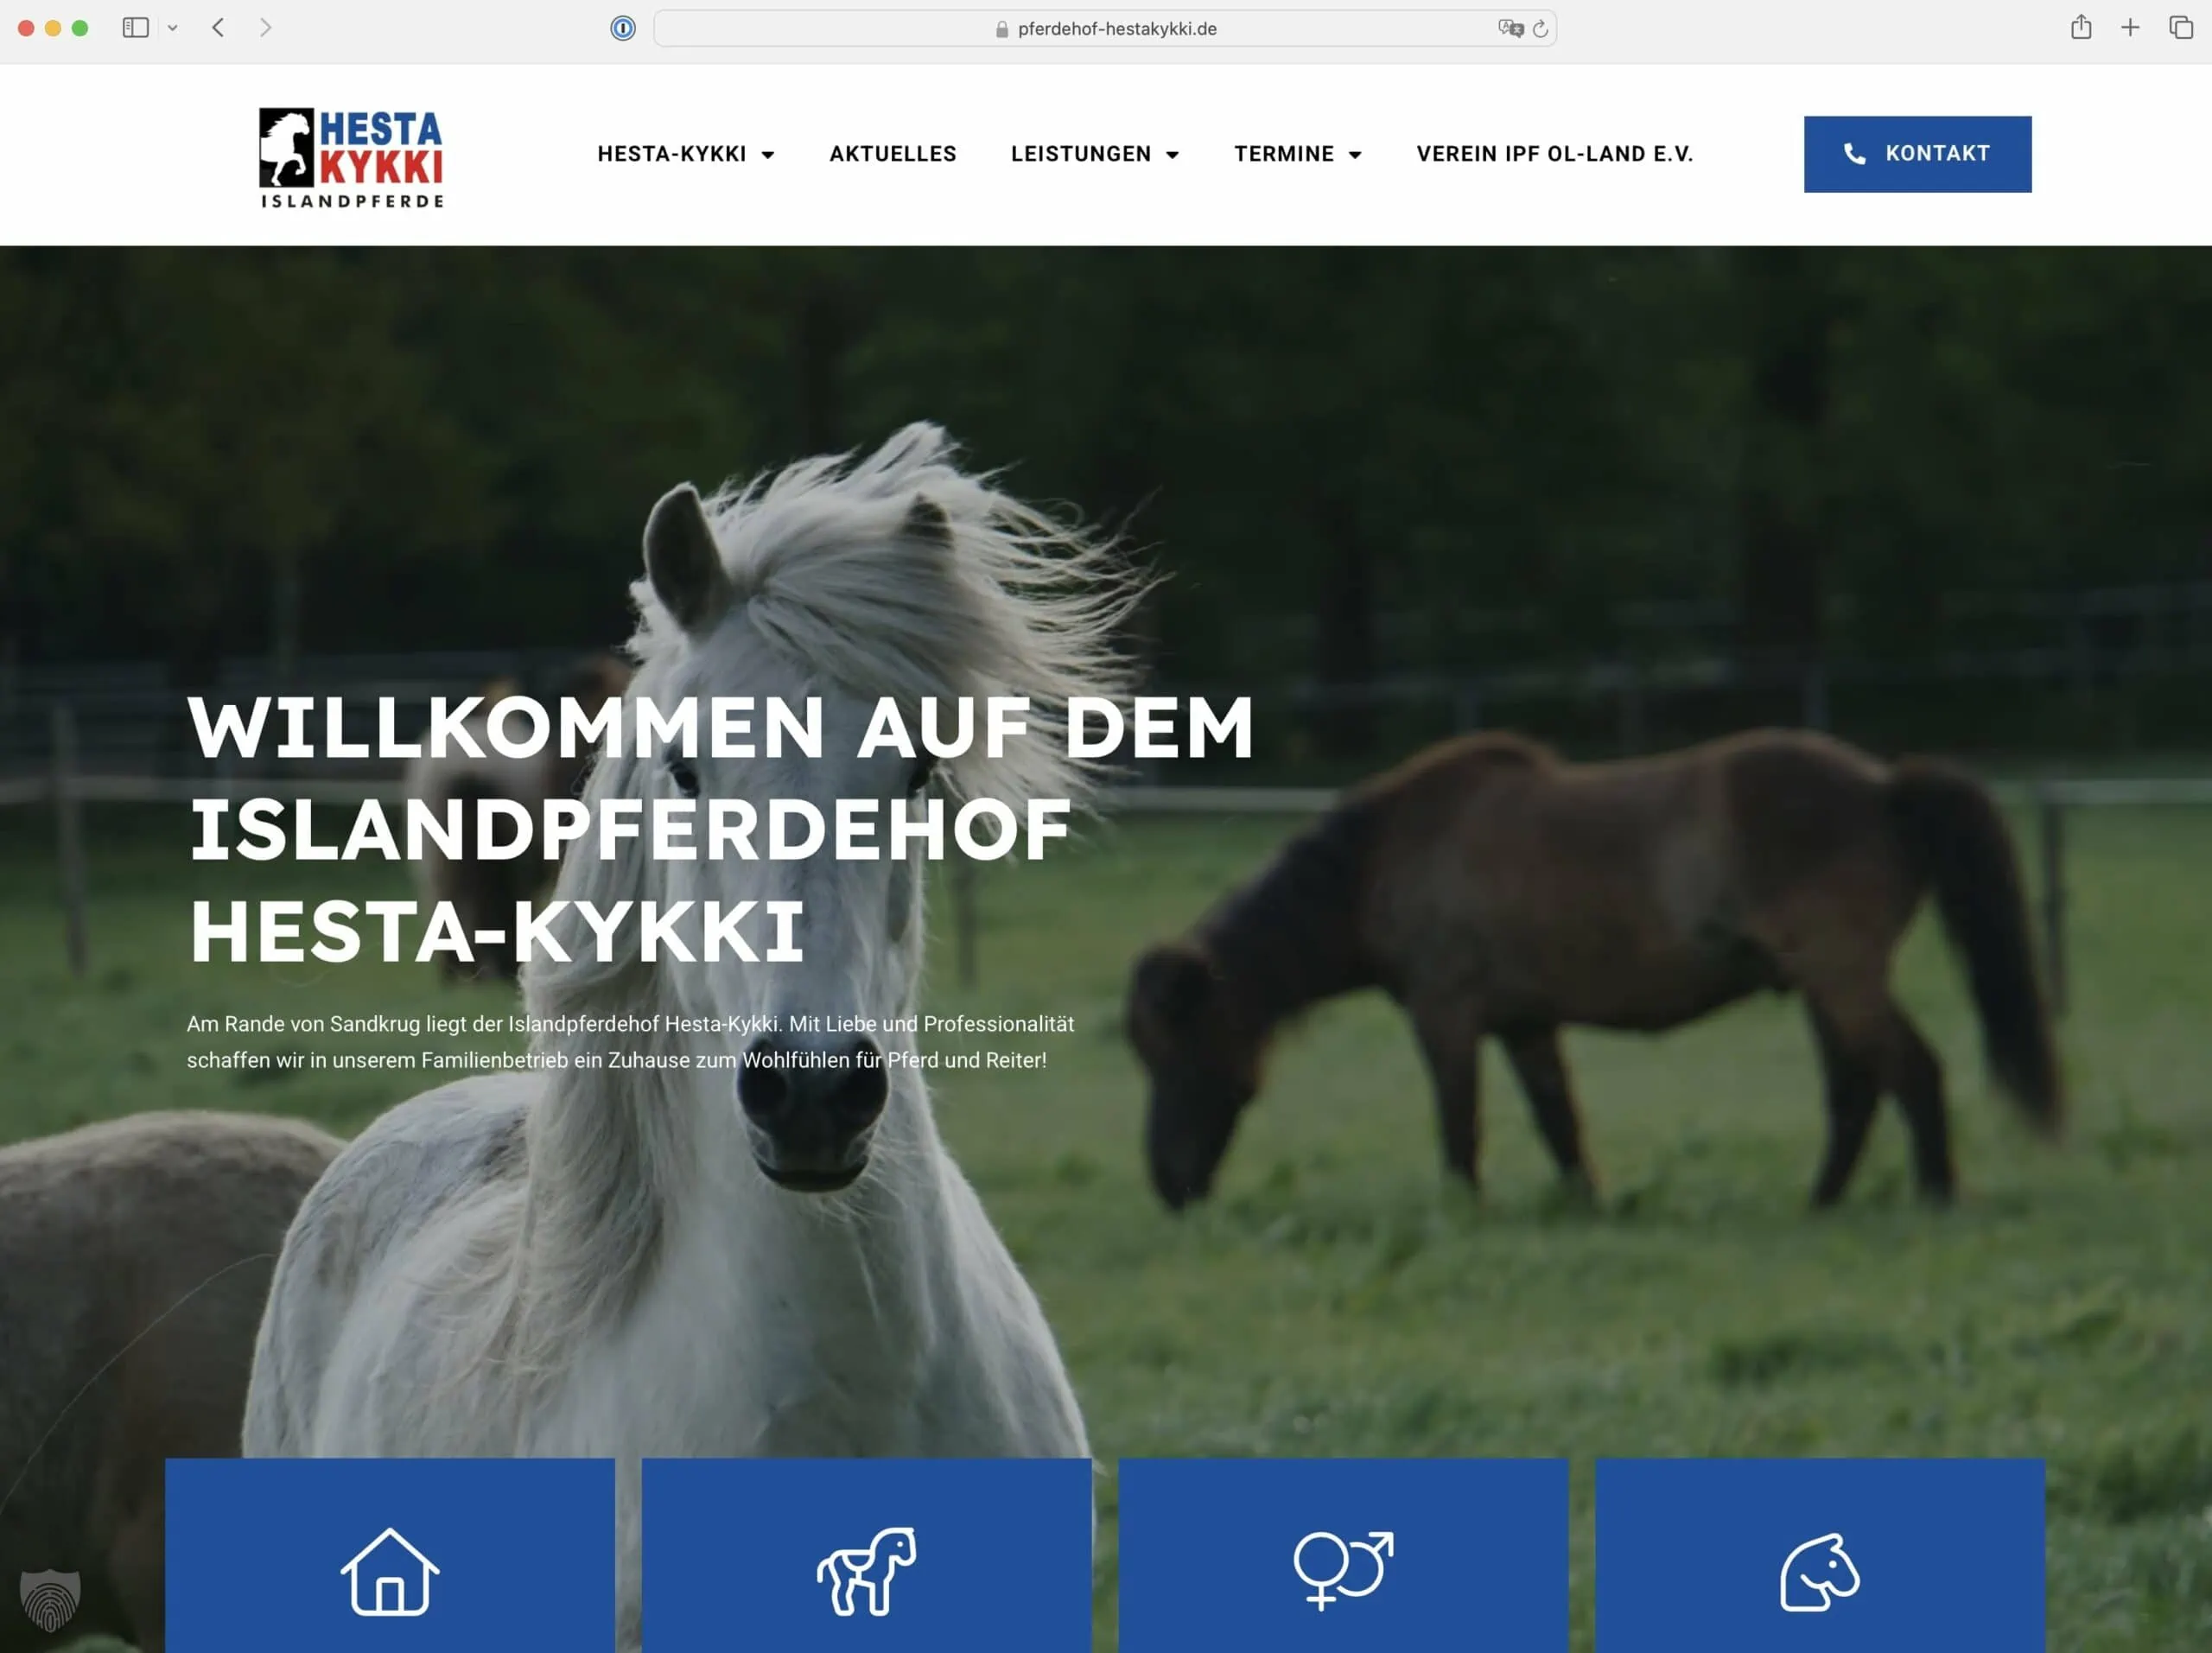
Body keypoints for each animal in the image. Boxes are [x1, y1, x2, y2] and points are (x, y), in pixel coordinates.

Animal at [1128, 729, 2061, 1212]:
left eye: (1179, 1051)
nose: (1168, 1183)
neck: (1383, 858)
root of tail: (1881, 785)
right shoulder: (1524, 1022)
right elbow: (1559, 1124)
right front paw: (1586, 1205)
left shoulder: (1446, 1017)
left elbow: (1460, 1127)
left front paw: (1461, 1212)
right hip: (1824, 987)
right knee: (1857, 1090)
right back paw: (1822, 1200)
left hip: (1841, 979)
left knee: (1911, 1071)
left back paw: (1934, 1194)